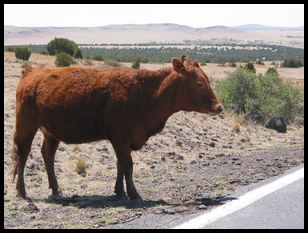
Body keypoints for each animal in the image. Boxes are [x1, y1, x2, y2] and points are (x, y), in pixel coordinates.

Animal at [12, 54, 224, 202]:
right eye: (199, 83)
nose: (219, 107)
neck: (147, 93)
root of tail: (31, 73)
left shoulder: (124, 140)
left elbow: (120, 164)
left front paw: (120, 192)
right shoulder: (120, 136)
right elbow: (128, 165)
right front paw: (134, 194)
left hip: (51, 132)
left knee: (47, 154)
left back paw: (56, 190)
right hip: (26, 125)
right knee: (23, 154)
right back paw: (21, 191)